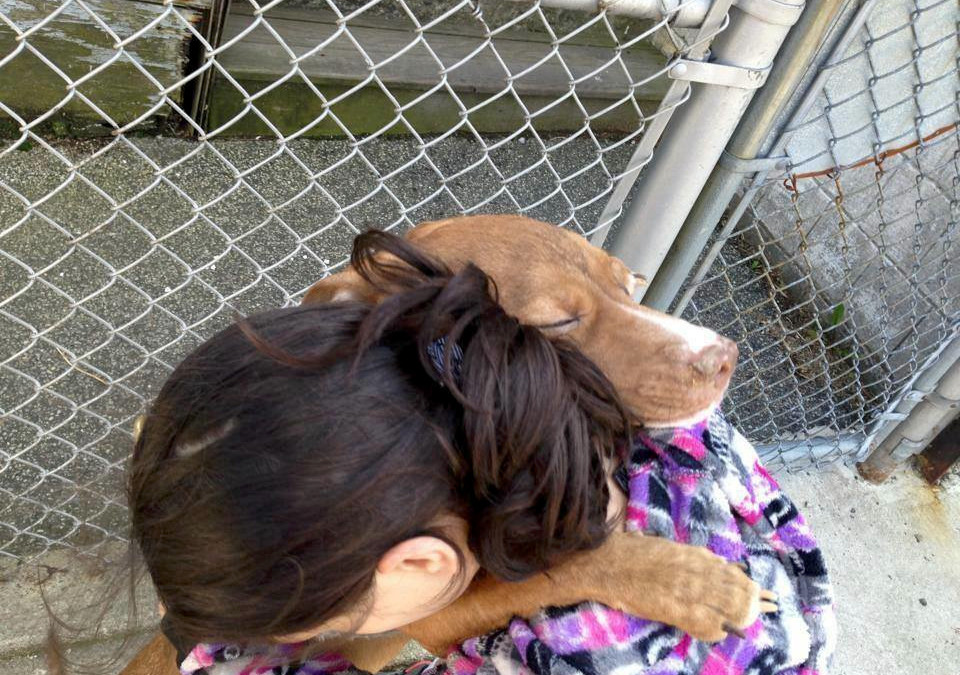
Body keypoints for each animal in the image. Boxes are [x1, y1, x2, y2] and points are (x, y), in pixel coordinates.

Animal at [122, 217, 764, 675]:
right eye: (557, 324)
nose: (724, 356)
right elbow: (559, 569)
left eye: (629, 282)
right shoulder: (433, 606)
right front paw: (694, 587)